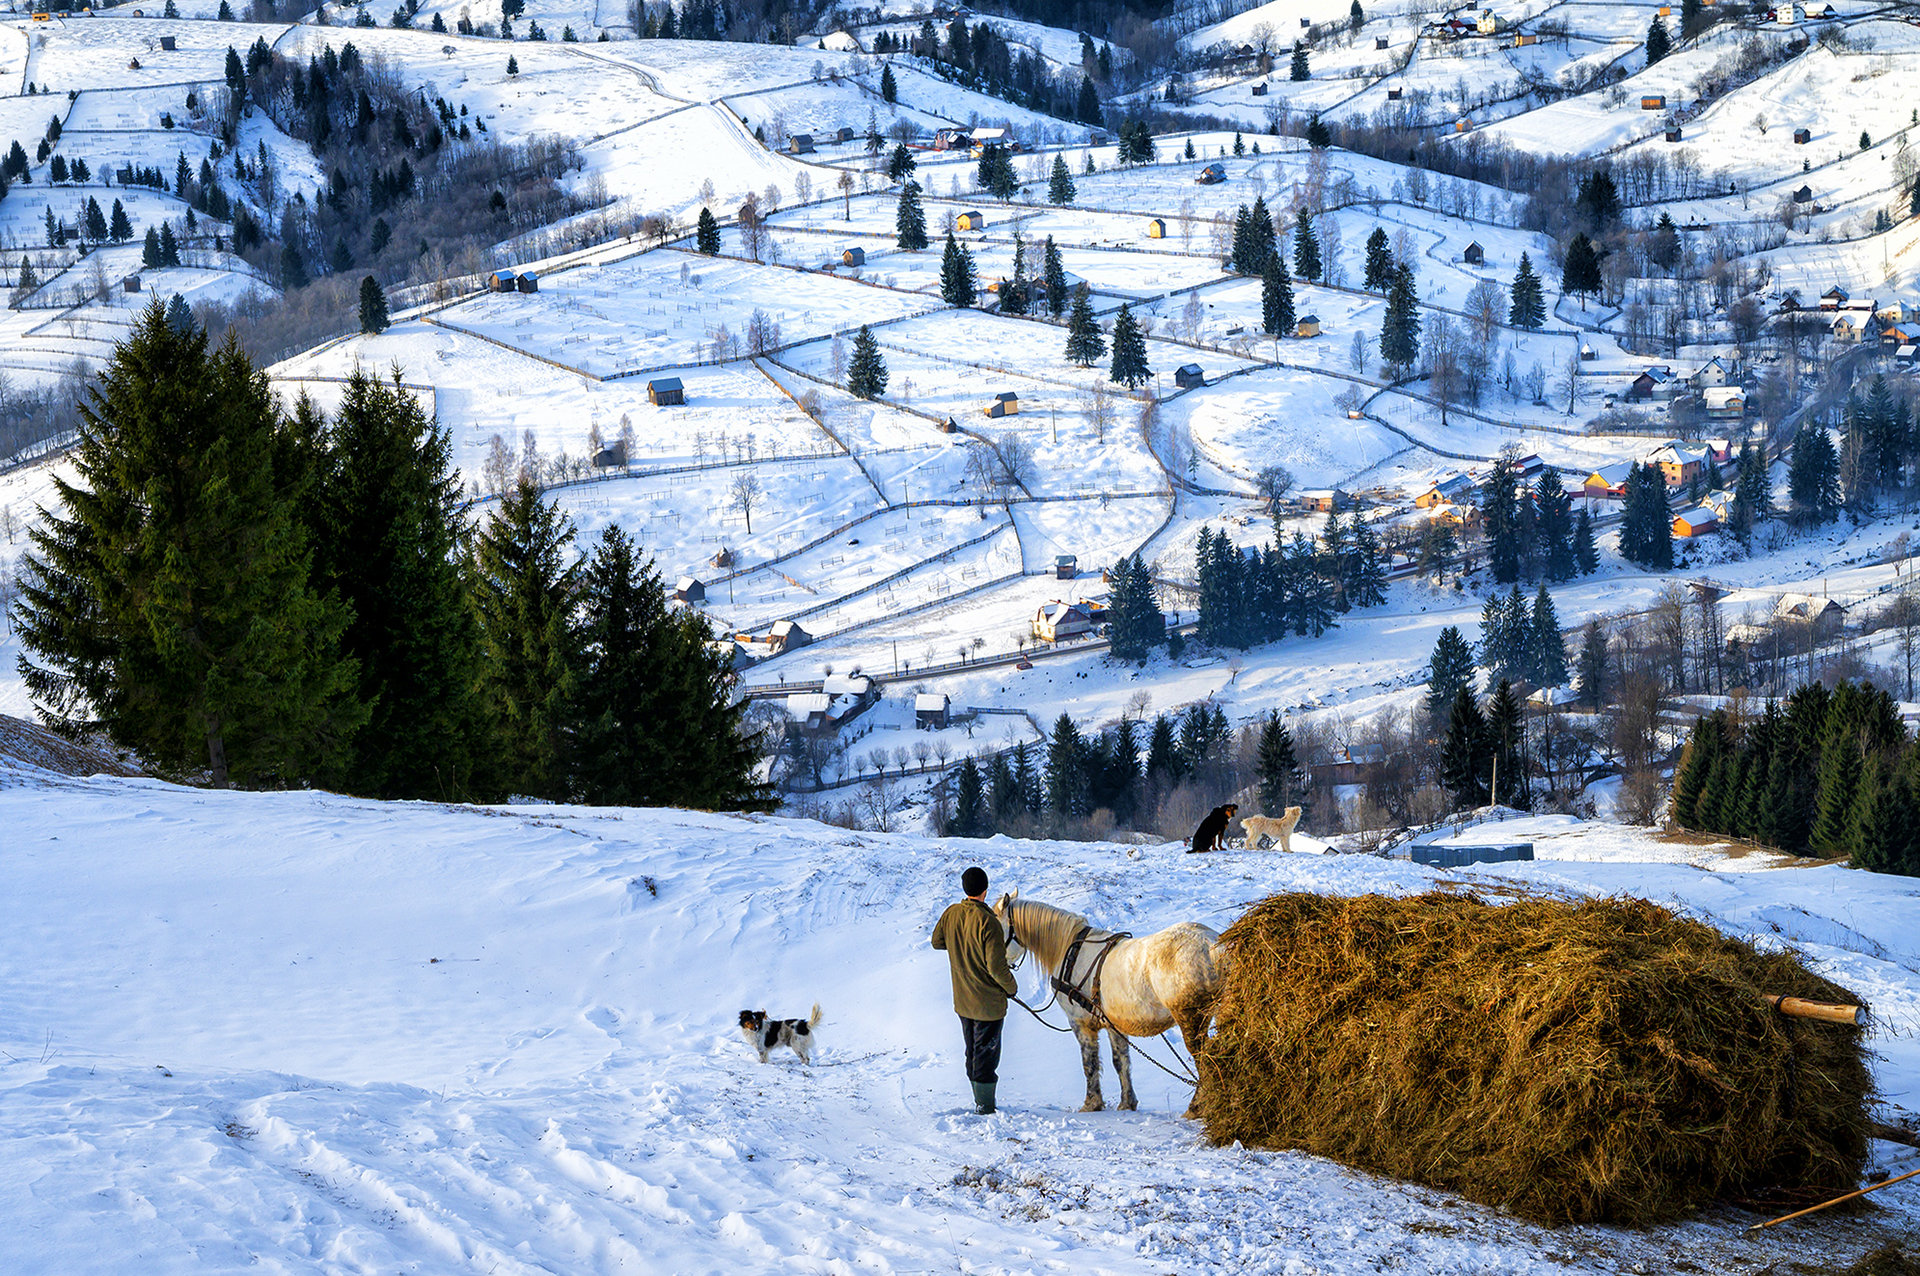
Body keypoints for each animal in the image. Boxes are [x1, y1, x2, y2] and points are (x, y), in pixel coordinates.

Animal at [990, 890, 1228, 1112]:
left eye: (996, 926)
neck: (1070, 952)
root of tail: (1212, 945)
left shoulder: (1081, 1024)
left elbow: (1090, 1064)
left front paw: (1091, 1103)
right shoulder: (1114, 1024)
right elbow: (1120, 1062)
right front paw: (1127, 1103)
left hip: (1191, 1018)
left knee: (1206, 1060)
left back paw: (1196, 1107)